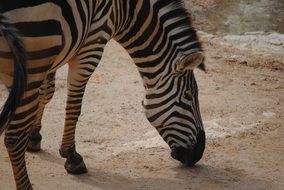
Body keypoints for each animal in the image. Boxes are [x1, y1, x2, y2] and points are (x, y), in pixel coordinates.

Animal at [0, 0, 205, 189]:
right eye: (188, 96)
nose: (199, 152)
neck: (126, 9)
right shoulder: (92, 43)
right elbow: (74, 107)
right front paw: (71, 157)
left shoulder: (55, 51)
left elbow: (47, 93)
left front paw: (34, 137)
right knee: (13, 137)